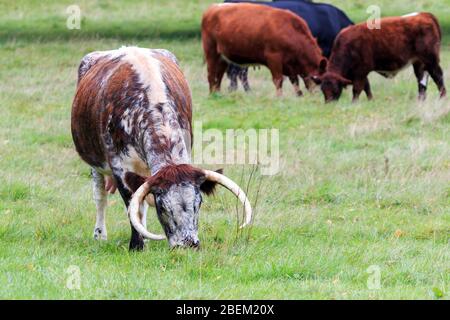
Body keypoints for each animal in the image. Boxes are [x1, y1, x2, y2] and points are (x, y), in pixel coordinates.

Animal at [310, 12, 446, 101]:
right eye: (323, 90)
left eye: (335, 89)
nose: (329, 103)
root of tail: (424, 15)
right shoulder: (360, 73)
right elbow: (367, 87)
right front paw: (371, 100)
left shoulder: (361, 71)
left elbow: (357, 89)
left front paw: (354, 103)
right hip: (419, 62)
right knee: (422, 80)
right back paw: (420, 100)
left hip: (431, 60)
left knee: (438, 76)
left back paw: (442, 97)